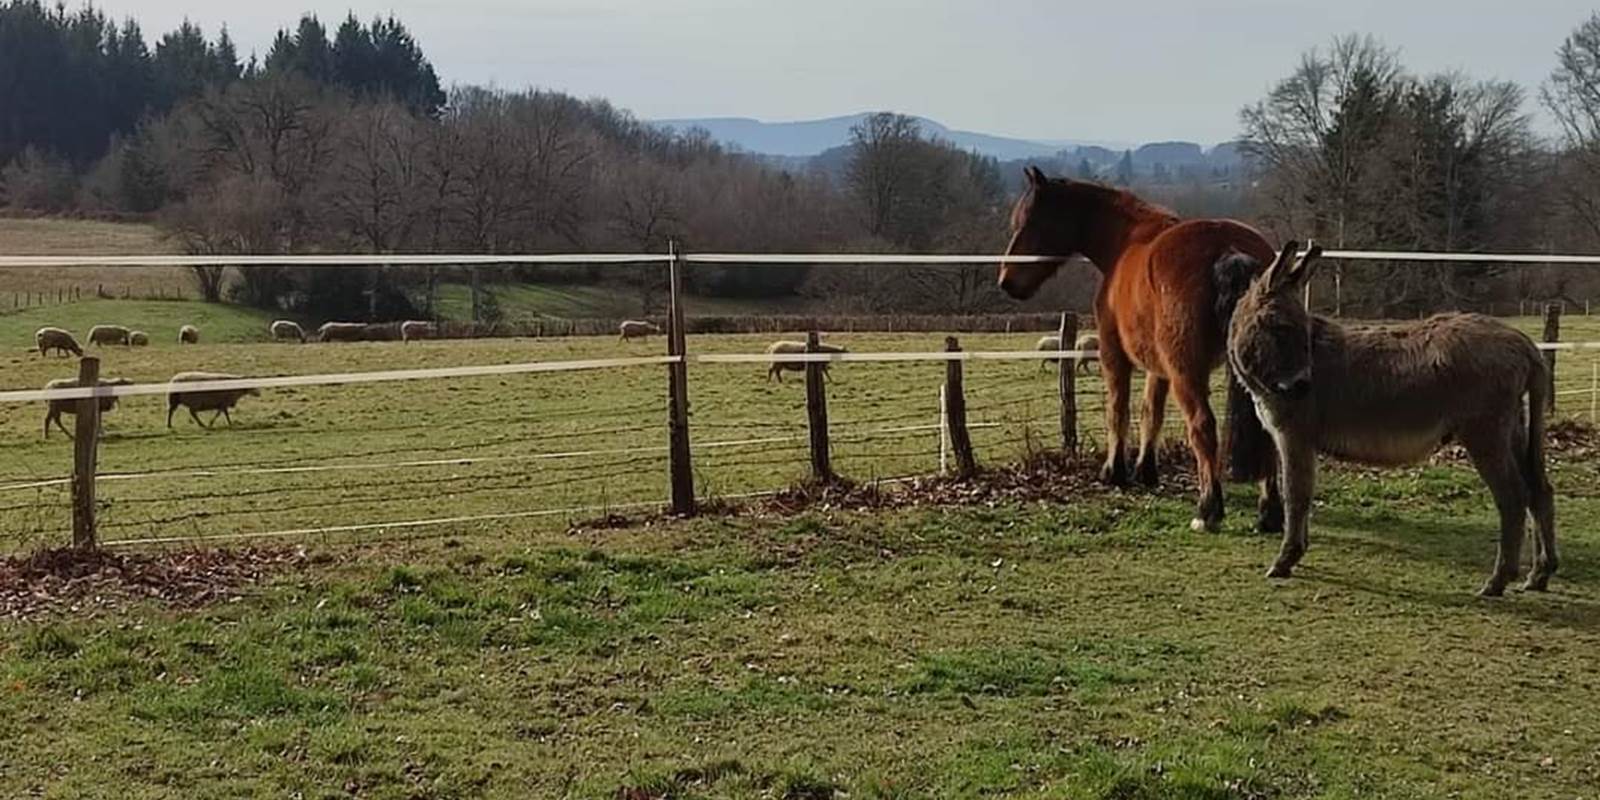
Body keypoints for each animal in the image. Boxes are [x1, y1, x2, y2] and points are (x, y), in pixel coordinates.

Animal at [998, 167, 1279, 533]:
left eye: (1030, 221)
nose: (1006, 281)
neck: (1125, 241)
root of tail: (1228, 249)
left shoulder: (1113, 355)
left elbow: (1117, 409)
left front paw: (1114, 471)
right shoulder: (1159, 366)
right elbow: (1150, 412)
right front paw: (1145, 470)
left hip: (1187, 374)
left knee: (1202, 427)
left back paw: (1208, 509)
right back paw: (1269, 512)